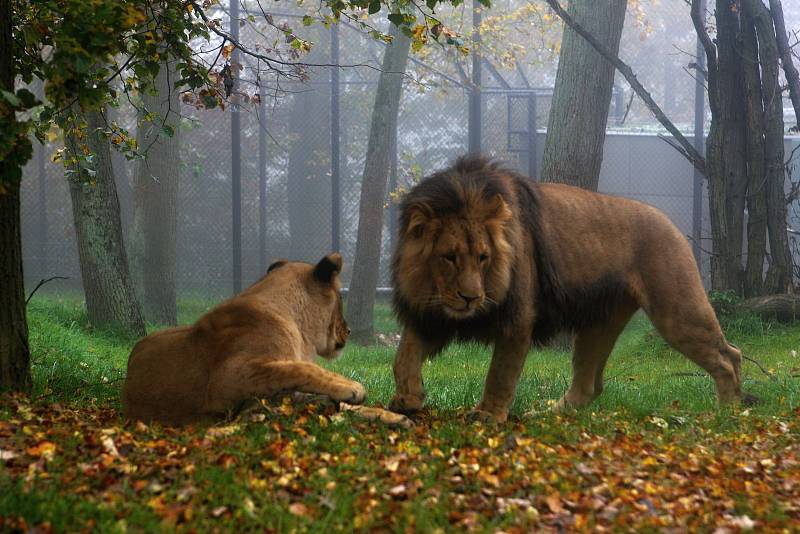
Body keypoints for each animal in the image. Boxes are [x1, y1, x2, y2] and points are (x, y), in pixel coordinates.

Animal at [390, 157, 752, 426]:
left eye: (483, 257)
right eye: (449, 257)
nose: (471, 298)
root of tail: (671, 223)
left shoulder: (517, 319)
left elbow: (500, 374)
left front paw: (487, 416)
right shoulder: (430, 315)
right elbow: (404, 355)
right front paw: (407, 399)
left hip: (676, 310)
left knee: (729, 356)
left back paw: (727, 412)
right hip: (598, 324)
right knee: (589, 386)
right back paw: (547, 413)